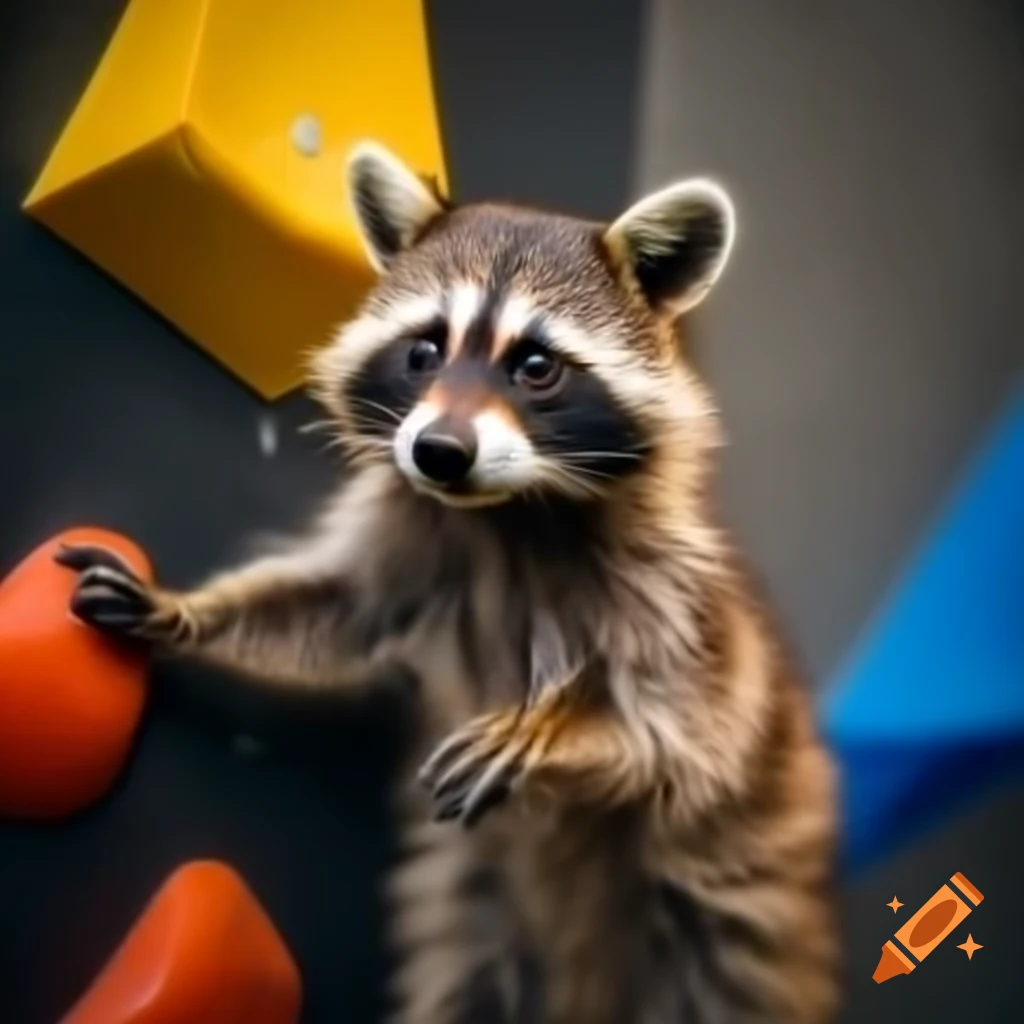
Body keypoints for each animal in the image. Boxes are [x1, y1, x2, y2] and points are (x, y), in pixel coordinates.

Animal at [58, 142, 839, 1023]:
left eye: (535, 366)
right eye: (423, 351)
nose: (437, 451)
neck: (504, 514)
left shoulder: (676, 596)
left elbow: (691, 733)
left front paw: (568, 726)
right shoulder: (413, 540)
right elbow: (333, 609)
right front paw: (188, 611)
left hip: (739, 902)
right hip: (473, 903)